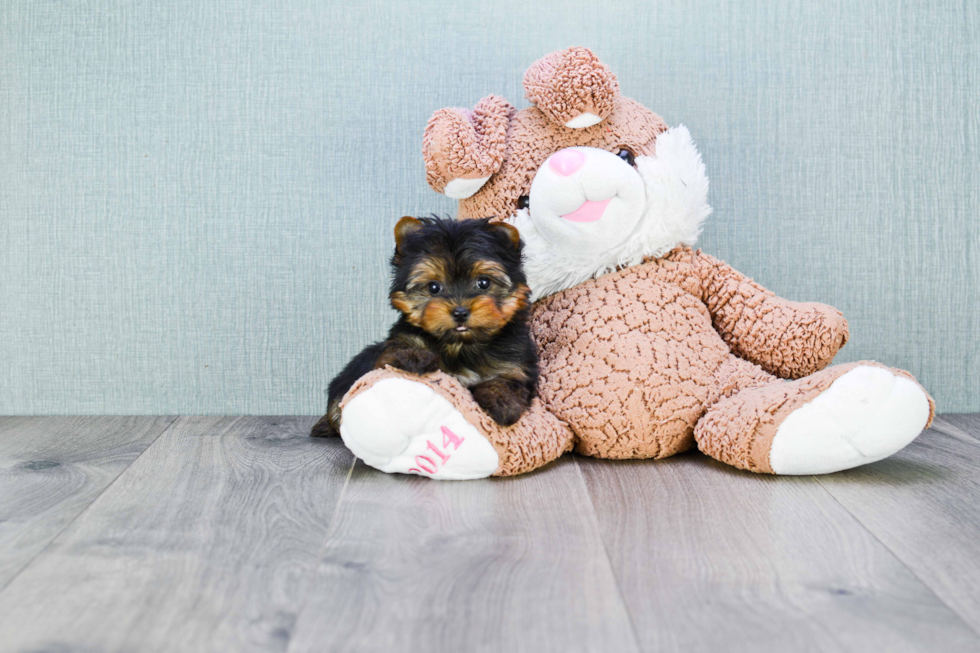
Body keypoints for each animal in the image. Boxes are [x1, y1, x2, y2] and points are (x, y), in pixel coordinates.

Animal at [312, 215, 536, 438]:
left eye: (484, 283)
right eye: (433, 287)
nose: (460, 312)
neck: (460, 345)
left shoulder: (514, 365)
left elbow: (508, 381)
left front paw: (501, 400)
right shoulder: (390, 353)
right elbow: (393, 352)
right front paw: (414, 356)